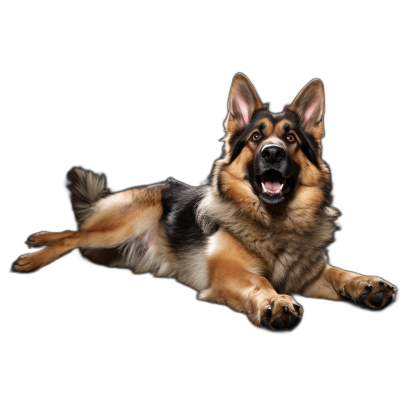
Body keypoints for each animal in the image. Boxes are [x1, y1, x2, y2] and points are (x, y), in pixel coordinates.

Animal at [12, 75, 396, 332]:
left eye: (290, 138)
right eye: (256, 137)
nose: (272, 153)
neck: (275, 222)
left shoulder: (309, 277)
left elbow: (337, 272)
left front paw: (366, 284)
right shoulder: (228, 272)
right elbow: (261, 282)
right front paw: (276, 301)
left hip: (111, 248)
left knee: (78, 236)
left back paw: (40, 238)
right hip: (126, 222)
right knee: (74, 236)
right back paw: (34, 256)